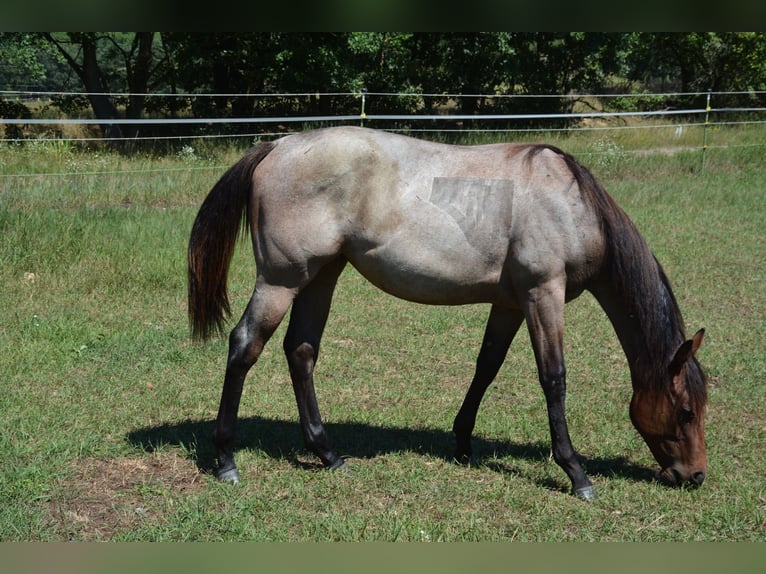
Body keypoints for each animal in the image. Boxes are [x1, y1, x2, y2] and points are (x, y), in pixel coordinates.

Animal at [189, 125, 712, 500]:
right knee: (245, 346)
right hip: (281, 281)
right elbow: (554, 379)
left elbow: (487, 366)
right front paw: (576, 473)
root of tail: (278, 146)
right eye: (686, 411)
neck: (571, 204)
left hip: (321, 276)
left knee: (301, 351)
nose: (695, 476)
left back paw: (327, 453)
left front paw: (462, 442)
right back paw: (226, 460)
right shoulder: (543, 294)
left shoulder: (510, 303)